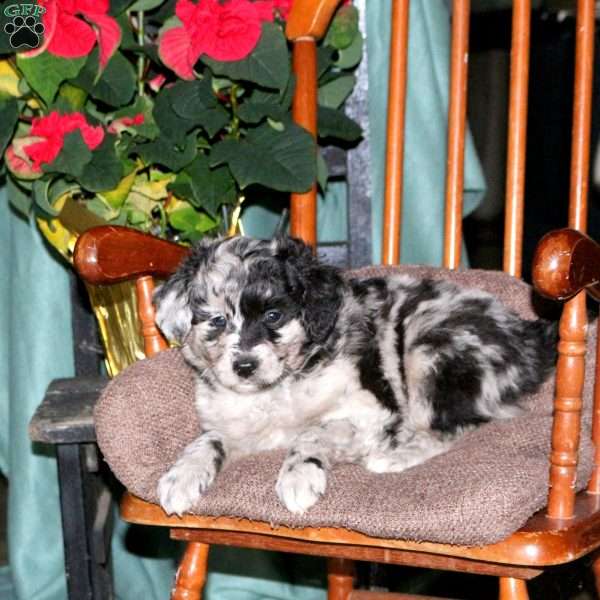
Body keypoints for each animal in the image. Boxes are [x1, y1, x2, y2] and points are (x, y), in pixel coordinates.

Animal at [152, 237, 556, 512]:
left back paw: (393, 457)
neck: (278, 389)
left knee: (454, 427)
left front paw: (299, 477)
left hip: (429, 348)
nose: (245, 367)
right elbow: (209, 440)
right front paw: (181, 477)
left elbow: (313, 434)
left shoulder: (370, 412)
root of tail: (528, 335)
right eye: (217, 320)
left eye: (273, 315)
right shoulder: (237, 427)